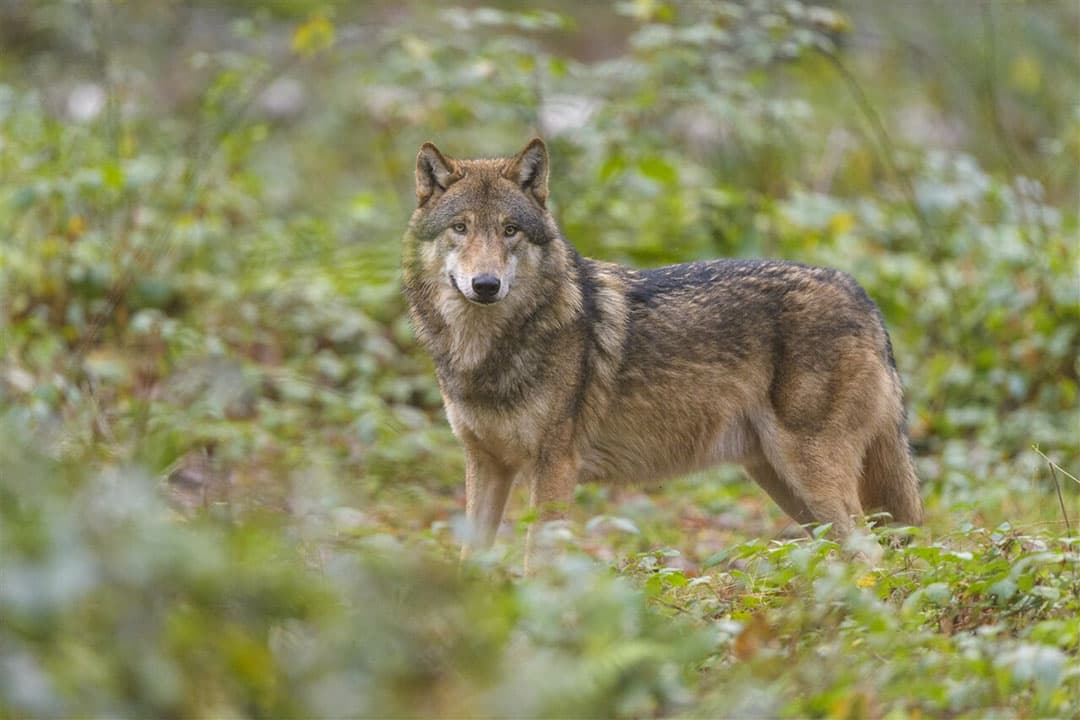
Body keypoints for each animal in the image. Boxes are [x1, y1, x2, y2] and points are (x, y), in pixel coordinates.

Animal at [402, 138, 922, 571]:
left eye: (510, 230)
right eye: (460, 228)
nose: (486, 285)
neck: (485, 350)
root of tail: (863, 295)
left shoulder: (554, 468)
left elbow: (537, 564)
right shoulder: (485, 464)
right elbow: (470, 559)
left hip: (810, 476)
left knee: (872, 554)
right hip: (786, 485)